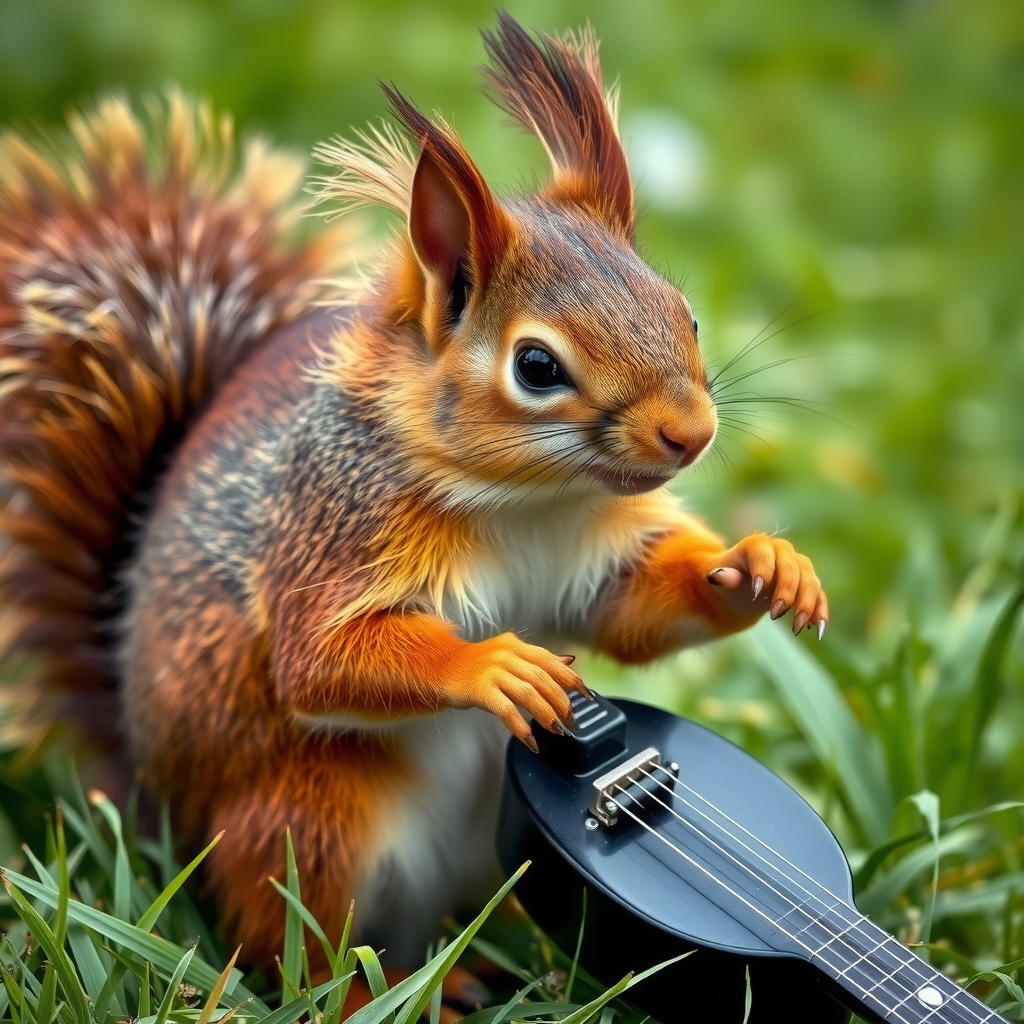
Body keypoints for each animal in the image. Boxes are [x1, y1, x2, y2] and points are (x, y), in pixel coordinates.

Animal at [0, 16, 823, 970]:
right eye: (536, 366)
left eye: (683, 312)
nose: (691, 434)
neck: (532, 502)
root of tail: (156, 799)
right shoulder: (337, 526)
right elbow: (320, 659)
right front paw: (490, 664)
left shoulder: (592, 561)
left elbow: (635, 616)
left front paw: (765, 565)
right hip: (311, 817)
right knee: (298, 943)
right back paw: (402, 988)